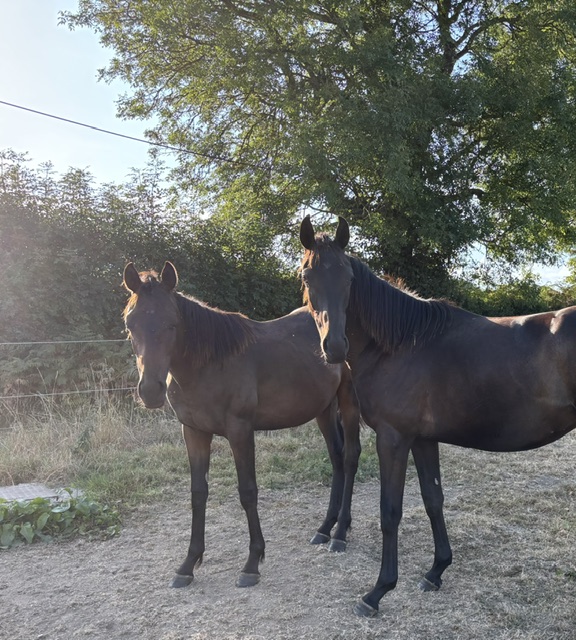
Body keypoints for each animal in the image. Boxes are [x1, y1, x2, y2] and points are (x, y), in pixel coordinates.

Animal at [122, 260, 361, 590]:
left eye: (172, 324)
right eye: (130, 324)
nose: (150, 391)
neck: (209, 364)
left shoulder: (240, 431)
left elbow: (247, 492)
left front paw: (252, 562)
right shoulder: (194, 432)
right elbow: (198, 493)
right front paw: (188, 564)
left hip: (348, 403)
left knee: (349, 458)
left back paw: (339, 535)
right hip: (324, 409)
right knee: (336, 458)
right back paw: (326, 528)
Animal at [299, 215, 576, 617]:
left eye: (348, 278)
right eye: (307, 276)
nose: (334, 347)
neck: (399, 344)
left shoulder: (393, 438)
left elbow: (390, 511)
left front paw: (377, 592)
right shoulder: (423, 439)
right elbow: (433, 500)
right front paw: (436, 571)